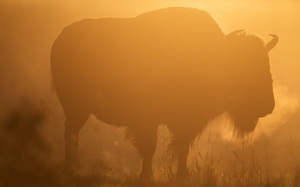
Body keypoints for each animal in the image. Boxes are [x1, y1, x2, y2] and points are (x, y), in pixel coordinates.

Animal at [50, 6, 278, 183]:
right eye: (245, 68)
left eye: (266, 64)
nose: (268, 106)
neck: (215, 57)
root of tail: (60, 39)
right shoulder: (146, 121)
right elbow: (150, 148)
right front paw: (147, 177)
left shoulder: (184, 124)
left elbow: (181, 150)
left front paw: (182, 177)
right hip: (76, 109)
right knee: (71, 134)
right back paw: (73, 170)